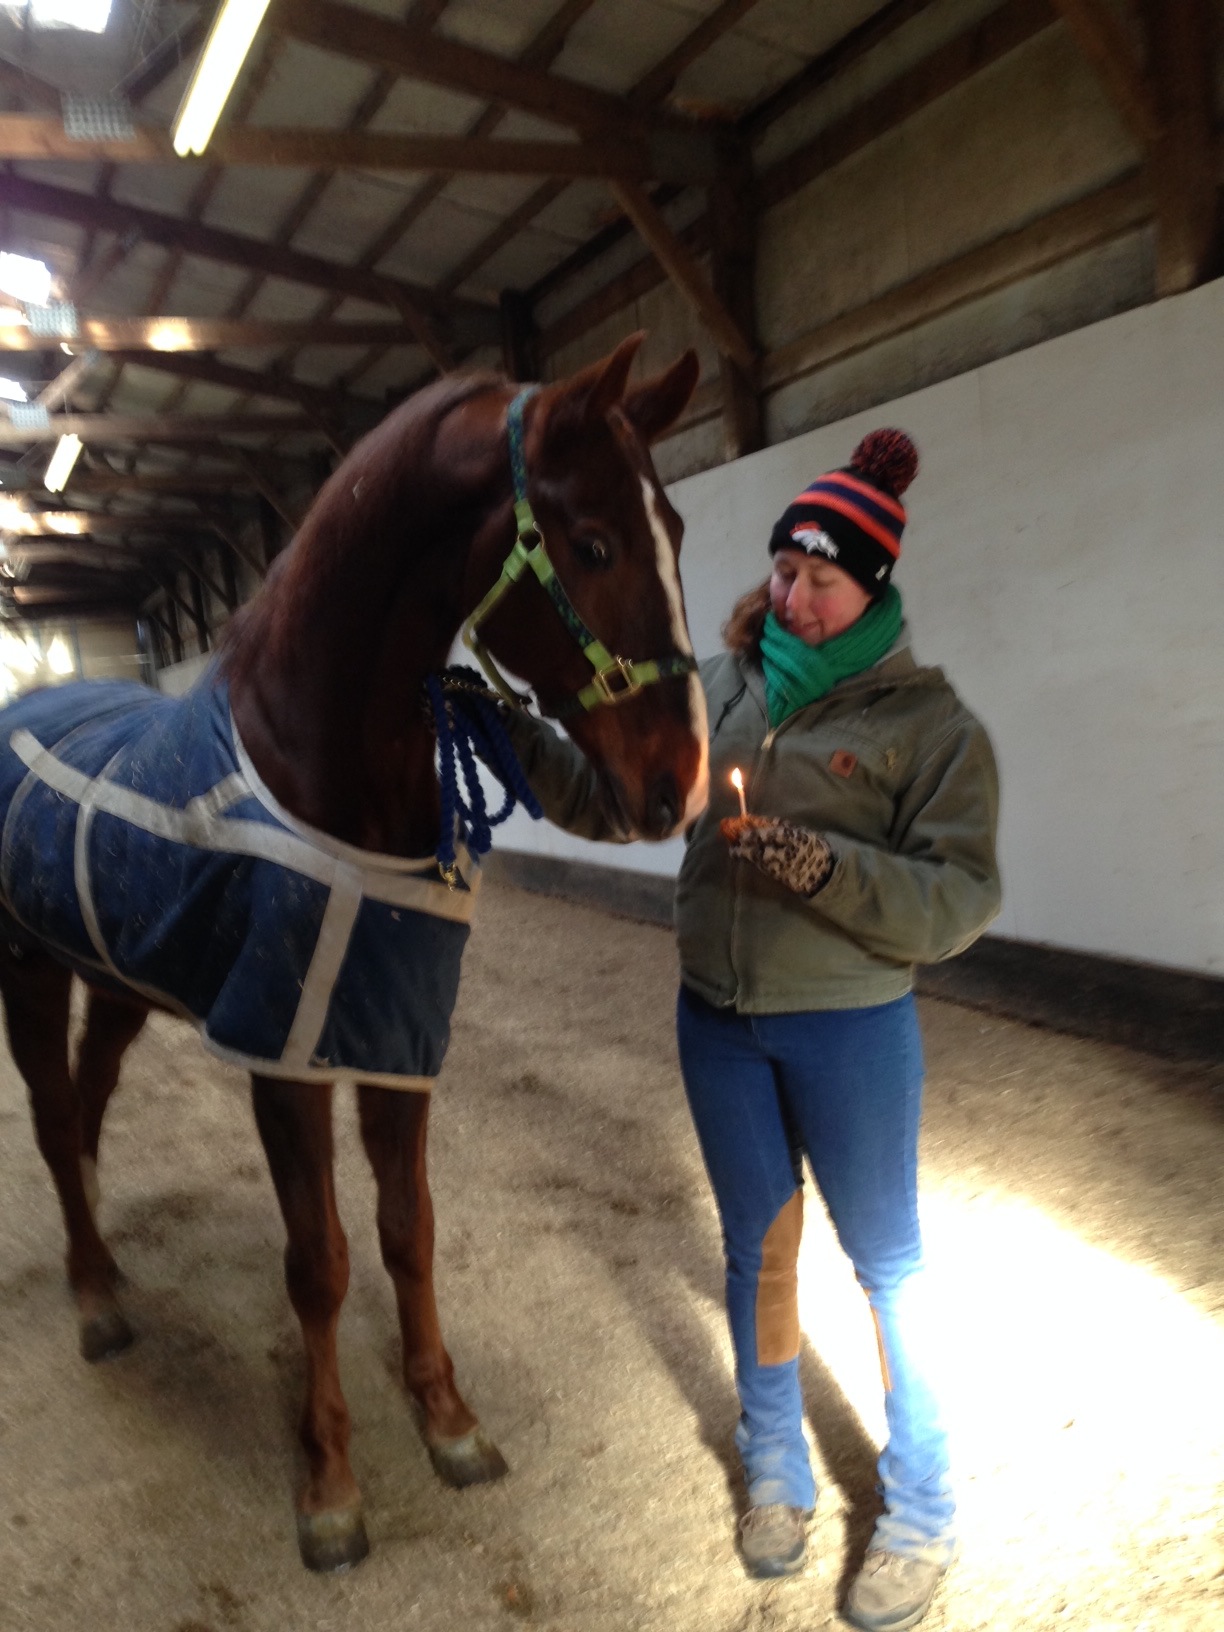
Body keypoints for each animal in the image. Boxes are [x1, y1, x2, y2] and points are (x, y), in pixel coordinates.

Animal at [0, 331, 708, 1566]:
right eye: (594, 540)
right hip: (28, 974)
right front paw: (330, 1484)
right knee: (49, 1119)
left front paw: (450, 1421)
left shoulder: (394, 1038)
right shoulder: (286, 1058)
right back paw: (93, 1300)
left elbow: (406, 1231)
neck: (318, 758)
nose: (680, 783)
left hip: (118, 979)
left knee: (85, 1106)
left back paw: (110, 1263)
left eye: (676, 526)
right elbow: (318, 1261)